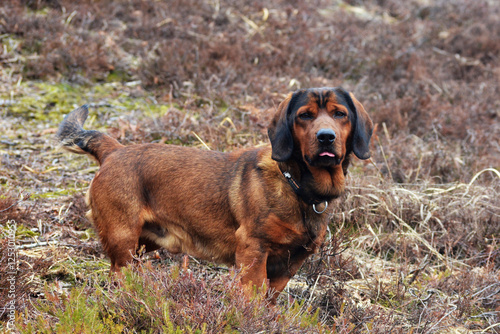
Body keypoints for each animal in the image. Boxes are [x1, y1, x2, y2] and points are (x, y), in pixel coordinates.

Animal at [57, 87, 372, 302]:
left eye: (340, 114)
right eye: (304, 115)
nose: (326, 137)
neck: (296, 186)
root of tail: (115, 150)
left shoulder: (290, 264)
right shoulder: (254, 251)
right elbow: (253, 296)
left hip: (143, 242)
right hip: (122, 239)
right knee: (118, 276)